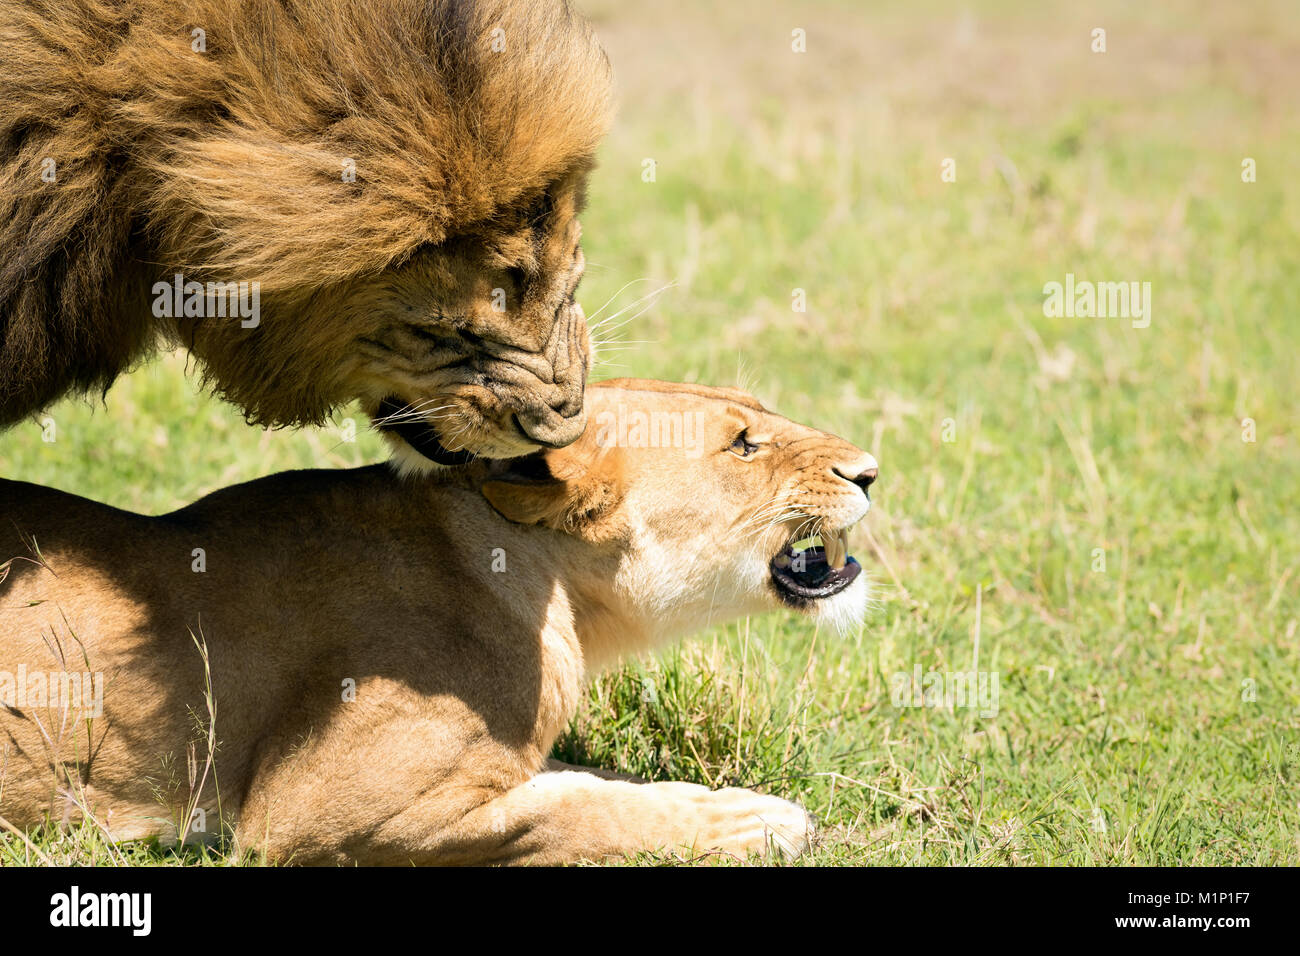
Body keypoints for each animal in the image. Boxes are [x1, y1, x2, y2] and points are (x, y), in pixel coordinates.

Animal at [0, 379, 880, 864]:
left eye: (760, 415)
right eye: (743, 445)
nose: (870, 471)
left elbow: (594, 782)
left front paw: (729, 804)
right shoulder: (309, 814)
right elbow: (570, 812)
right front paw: (753, 821)